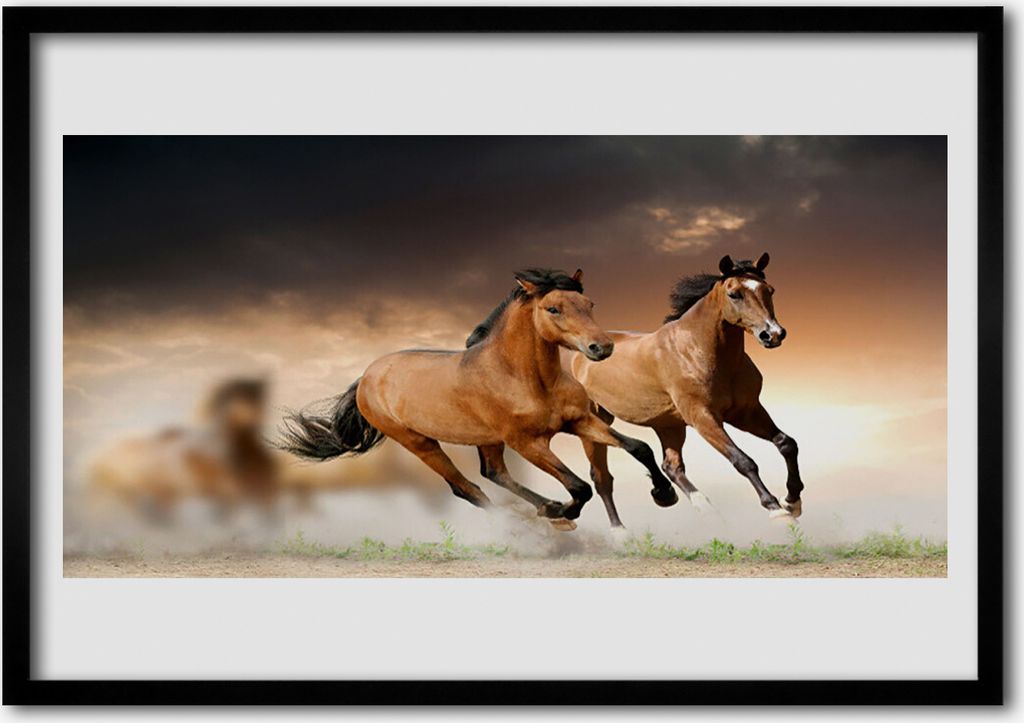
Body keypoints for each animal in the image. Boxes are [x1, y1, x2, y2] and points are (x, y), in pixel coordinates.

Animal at [278, 268, 678, 528]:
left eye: (589, 303)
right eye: (553, 308)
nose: (602, 347)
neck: (528, 378)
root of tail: (367, 376)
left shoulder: (580, 421)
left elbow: (639, 447)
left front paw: (664, 494)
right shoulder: (527, 442)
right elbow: (579, 487)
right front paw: (562, 512)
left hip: (486, 439)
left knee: (492, 473)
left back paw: (544, 511)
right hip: (420, 442)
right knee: (466, 488)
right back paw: (533, 524)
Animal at [570, 253, 803, 528]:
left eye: (770, 290)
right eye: (734, 294)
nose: (773, 334)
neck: (698, 350)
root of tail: (579, 356)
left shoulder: (746, 412)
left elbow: (786, 443)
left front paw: (792, 501)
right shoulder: (703, 417)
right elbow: (743, 461)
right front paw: (775, 509)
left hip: (668, 425)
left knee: (671, 467)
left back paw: (696, 505)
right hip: (595, 424)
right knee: (602, 479)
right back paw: (621, 531)